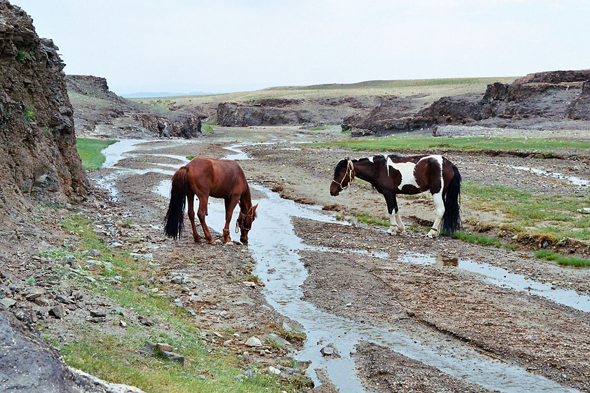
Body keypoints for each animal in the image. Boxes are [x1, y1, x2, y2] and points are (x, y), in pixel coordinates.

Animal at [332, 155, 462, 237]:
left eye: (340, 172)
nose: (332, 191)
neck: (379, 168)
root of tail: (450, 165)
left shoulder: (388, 193)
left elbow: (391, 210)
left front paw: (392, 229)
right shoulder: (393, 193)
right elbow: (396, 209)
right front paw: (400, 228)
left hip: (437, 192)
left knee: (440, 210)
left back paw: (431, 233)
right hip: (442, 193)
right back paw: (436, 232)